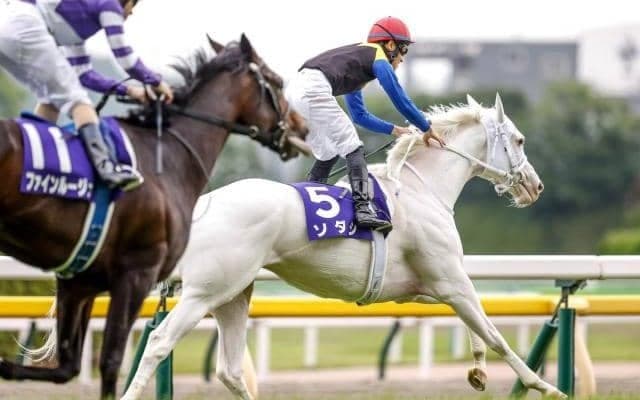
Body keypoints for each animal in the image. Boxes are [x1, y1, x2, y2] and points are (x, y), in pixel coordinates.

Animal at [0, 34, 309, 399]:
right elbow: (111, 361)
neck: (167, 156)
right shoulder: (135, 274)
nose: (302, 129)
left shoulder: (80, 280)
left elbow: (67, 367)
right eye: (277, 82)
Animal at [120, 93, 562, 400]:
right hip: (206, 292)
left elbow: (475, 323)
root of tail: (202, 205)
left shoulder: (423, 287)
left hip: (234, 293)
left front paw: (478, 370)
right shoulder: (450, 280)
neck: (420, 189)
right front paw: (544, 386)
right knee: (159, 343)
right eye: (519, 140)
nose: (536, 186)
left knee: (229, 369)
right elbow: (494, 333)